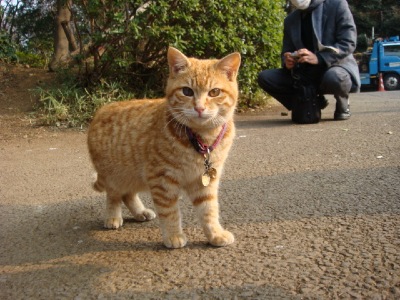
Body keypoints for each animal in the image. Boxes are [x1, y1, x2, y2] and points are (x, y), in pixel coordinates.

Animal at [87, 47, 241, 248]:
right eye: (187, 91)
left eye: (214, 92)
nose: (199, 108)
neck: (202, 139)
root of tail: (100, 111)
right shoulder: (162, 180)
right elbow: (170, 213)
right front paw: (174, 235)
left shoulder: (204, 183)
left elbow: (209, 210)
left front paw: (215, 233)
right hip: (115, 175)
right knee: (114, 195)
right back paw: (113, 216)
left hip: (135, 176)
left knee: (128, 195)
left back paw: (140, 212)